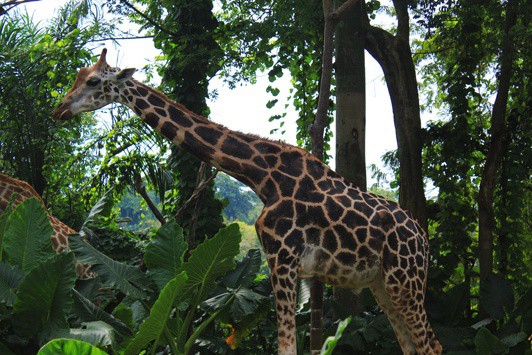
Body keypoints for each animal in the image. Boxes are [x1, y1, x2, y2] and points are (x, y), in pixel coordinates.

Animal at [55, 50, 440, 355]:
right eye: (77, 76)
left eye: (93, 81)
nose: (59, 109)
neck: (261, 177)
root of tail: (423, 238)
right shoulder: (281, 264)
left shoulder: (283, 260)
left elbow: (287, 347)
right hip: (382, 284)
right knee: (412, 345)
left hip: (405, 280)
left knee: (430, 345)